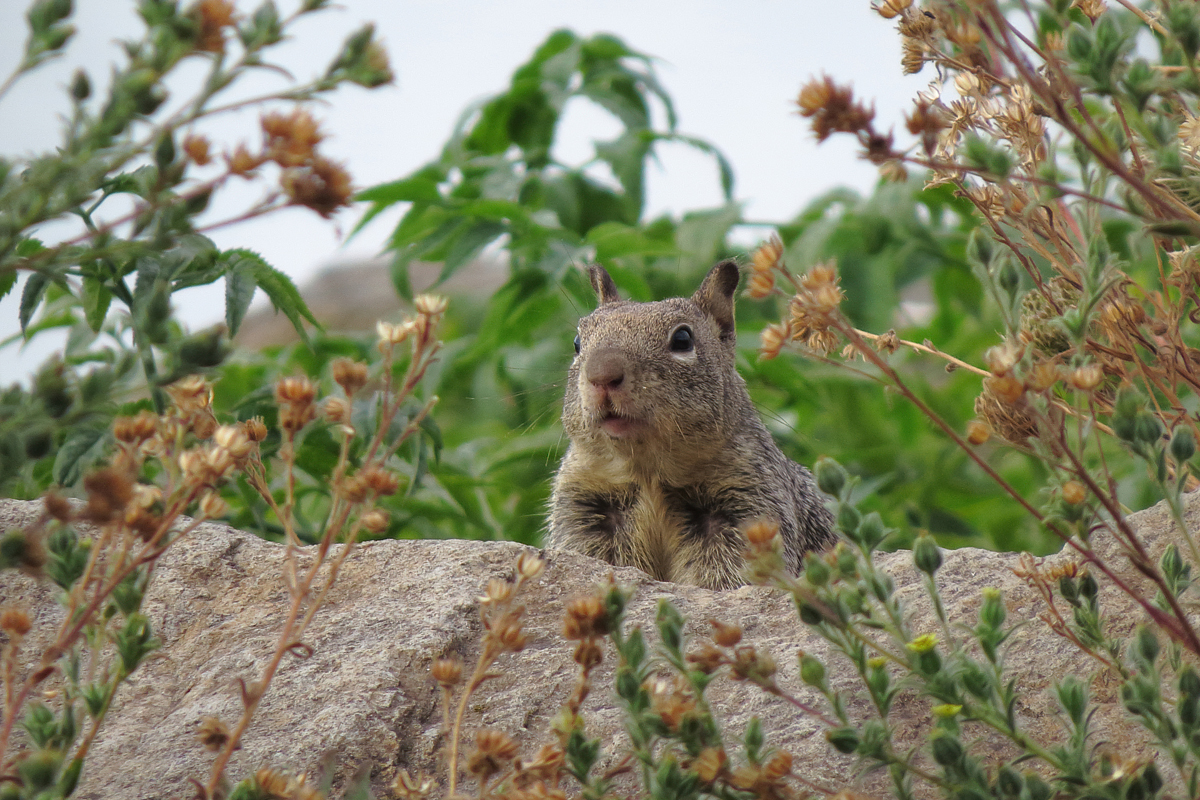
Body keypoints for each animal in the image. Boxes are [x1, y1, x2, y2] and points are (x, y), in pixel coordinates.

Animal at [546, 260, 836, 590]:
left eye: (683, 339)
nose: (602, 374)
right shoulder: (584, 506)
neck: (648, 473)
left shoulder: (747, 503)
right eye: (577, 342)